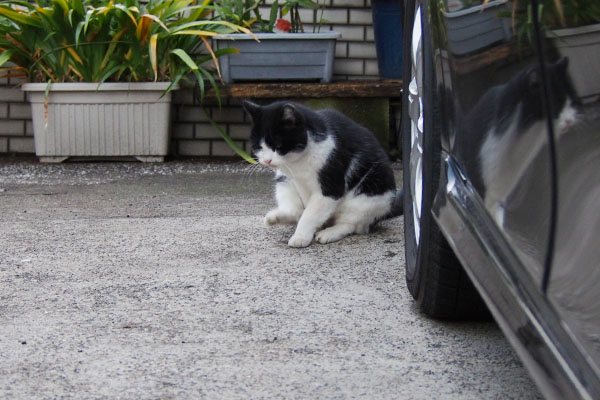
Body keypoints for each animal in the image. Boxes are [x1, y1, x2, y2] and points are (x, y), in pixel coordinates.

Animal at [243, 100, 404, 247]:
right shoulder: (295, 180)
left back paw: (329, 233)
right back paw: (276, 217)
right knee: (295, 210)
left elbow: (310, 214)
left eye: (278, 145)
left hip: (368, 198)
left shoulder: (329, 188)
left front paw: (300, 237)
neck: (297, 163)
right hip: (284, 183)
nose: (267, 160)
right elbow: (304, 211)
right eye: (259, 147)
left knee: (352, 225)